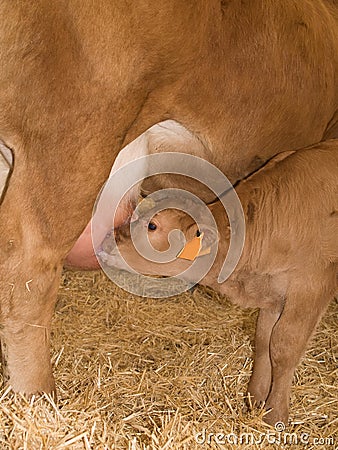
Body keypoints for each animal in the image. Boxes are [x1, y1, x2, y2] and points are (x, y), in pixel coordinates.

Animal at [101, 141, 338, 426]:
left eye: (153, 226)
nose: (105, 241)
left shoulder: (311, 286)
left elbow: (283, 346)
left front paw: (275, 414)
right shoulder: (272, 292)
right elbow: (263, 339)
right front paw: (255, 397)